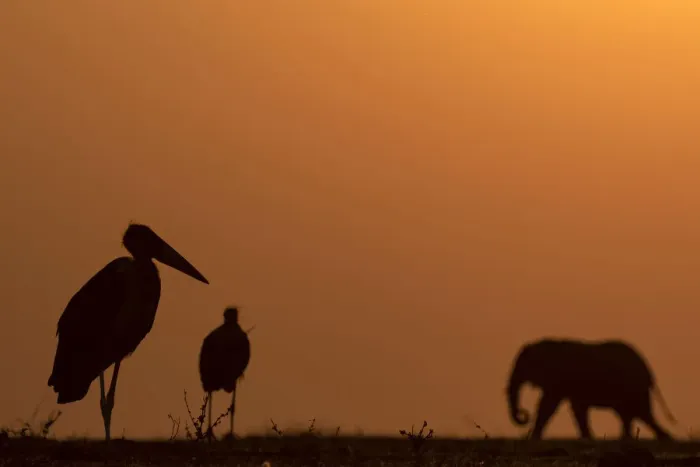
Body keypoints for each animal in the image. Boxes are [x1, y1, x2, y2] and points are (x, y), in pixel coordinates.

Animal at [506, 338, 676, 440]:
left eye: (523, 367)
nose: (524, 414)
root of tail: (649, 372)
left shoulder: (561, 378)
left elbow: (549, 404)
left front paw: (533, 437)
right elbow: (577, 408)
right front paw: (588, 437)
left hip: (633, 386)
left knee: (639, 412)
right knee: (634, 414)